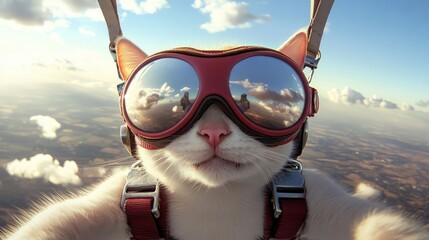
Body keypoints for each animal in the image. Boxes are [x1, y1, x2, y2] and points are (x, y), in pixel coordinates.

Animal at [2, 31, 424, 240]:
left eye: (245, 102)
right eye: (184, 103)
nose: (214, 131)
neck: (215, 205)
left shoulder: (327, 201)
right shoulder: (100, 207)